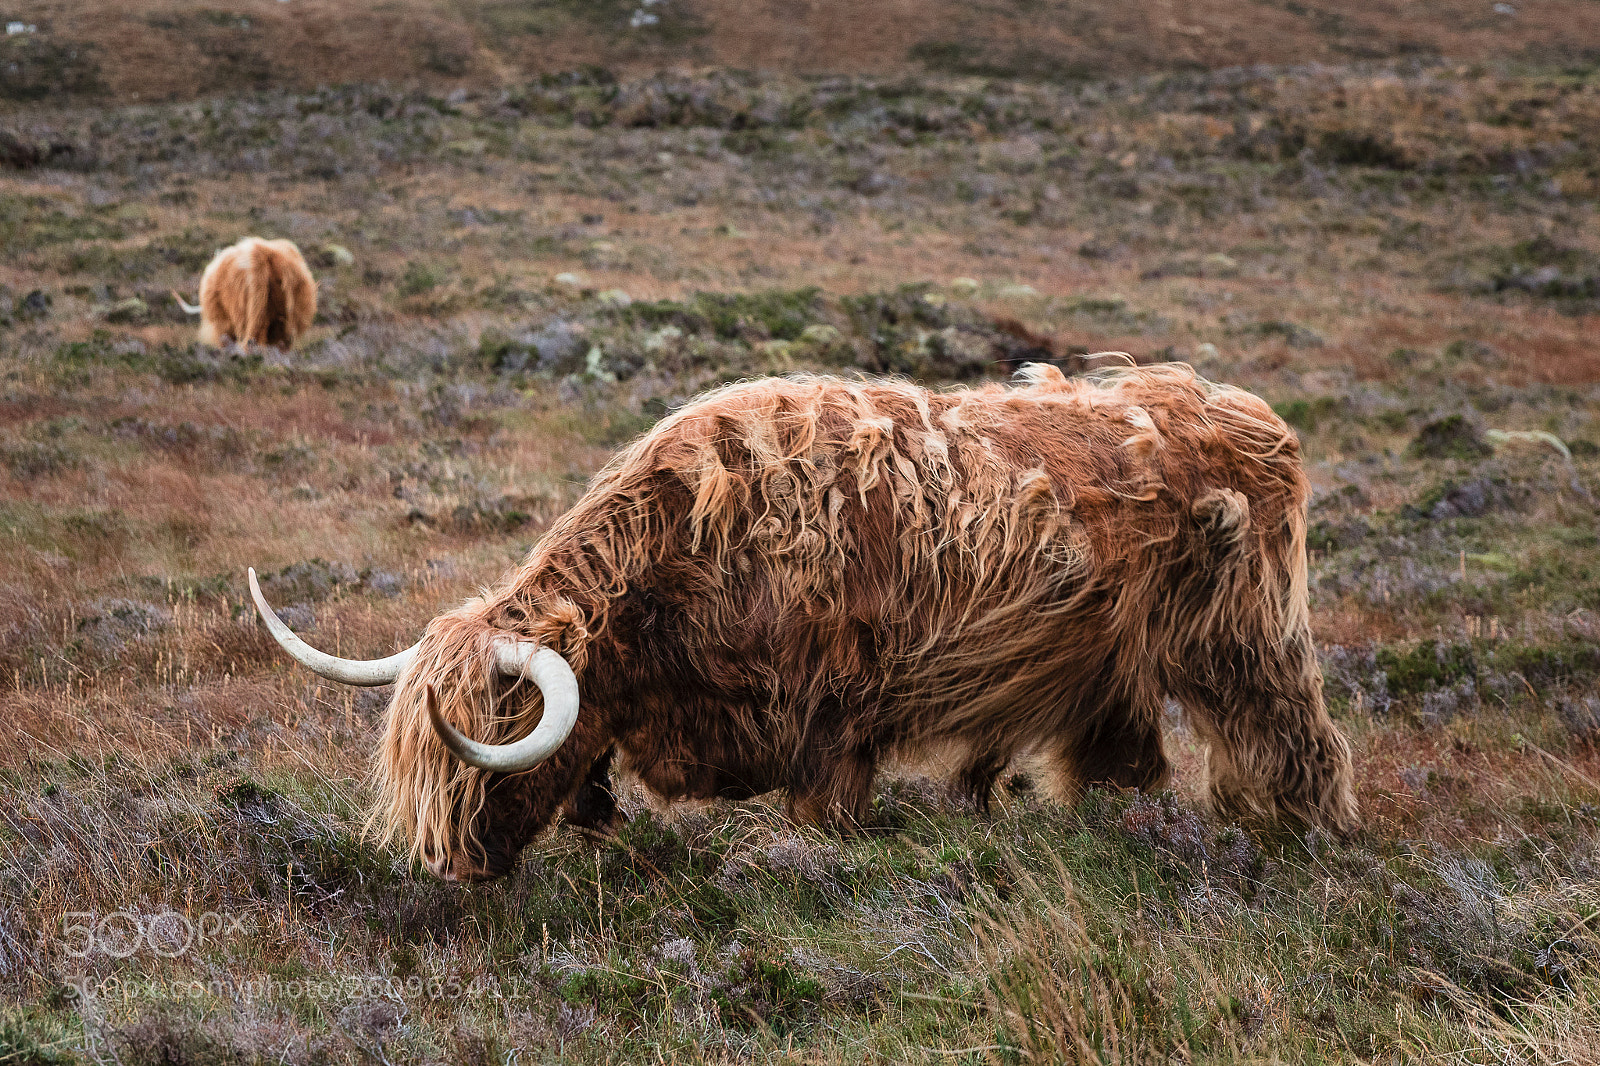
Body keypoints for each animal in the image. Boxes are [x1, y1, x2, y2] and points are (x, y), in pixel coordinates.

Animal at [250, 363, 1358, 881]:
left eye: (485, 759)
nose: (453, 868)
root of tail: (1245, 411)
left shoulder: (835, 719)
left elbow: (826, 811)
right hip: (1105, 673)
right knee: (1122, 762)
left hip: (1246, 644)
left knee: (1296, 740)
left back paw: (1308, 839)